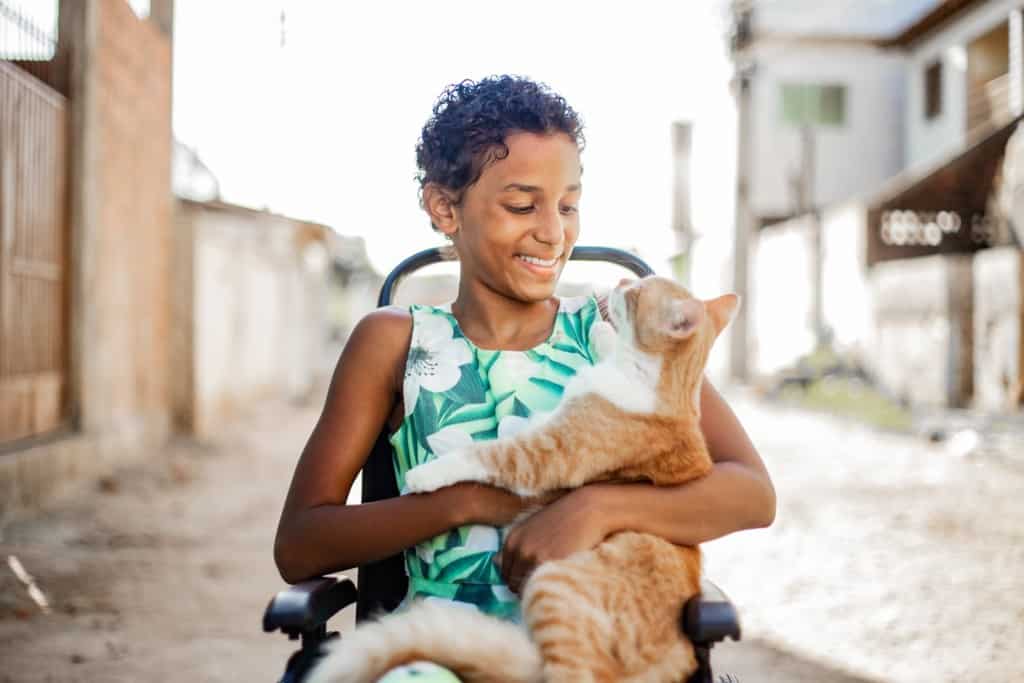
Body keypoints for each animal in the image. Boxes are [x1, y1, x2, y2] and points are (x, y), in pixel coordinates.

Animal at [307, 276, 741, 683]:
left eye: (635, 295)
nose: (619, 283)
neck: (657, 380)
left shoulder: (545, 453)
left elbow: (488, 453)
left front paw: (427, 473)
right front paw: (601, 334)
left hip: (552, 583)